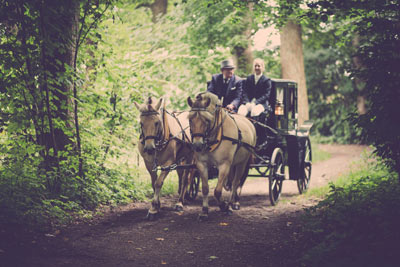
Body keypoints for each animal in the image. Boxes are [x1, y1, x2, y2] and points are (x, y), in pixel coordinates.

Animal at [187, 92, 256, 220]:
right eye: (190, 120)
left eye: (207, 120)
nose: (198, 145)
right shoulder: (202, 164)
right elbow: (205, 189)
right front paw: (204, 211)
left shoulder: (224, 165)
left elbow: (218, 191)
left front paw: (224, 206)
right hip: (233, 164)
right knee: (233, 181)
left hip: (242, 163)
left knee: (236, 182)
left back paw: (234, 202)